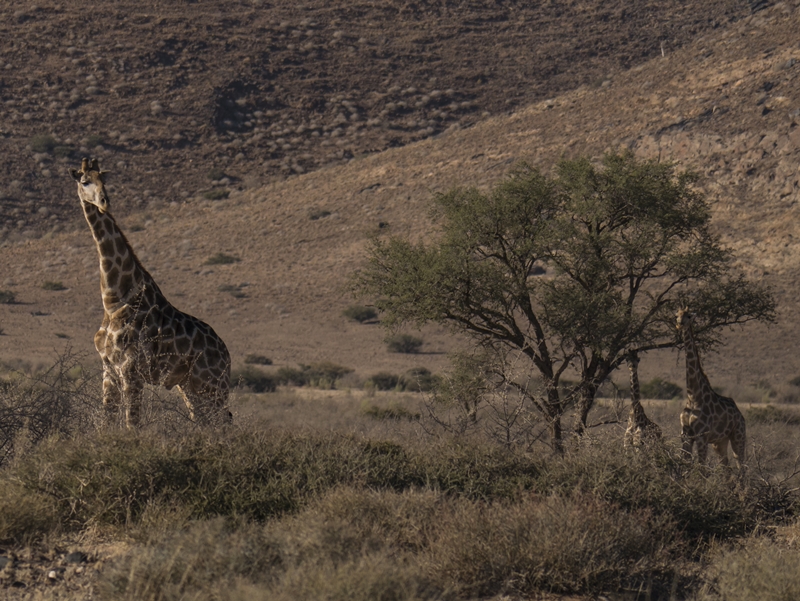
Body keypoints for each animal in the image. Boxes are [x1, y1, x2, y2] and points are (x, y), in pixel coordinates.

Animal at [69, 157, 233, 424]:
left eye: (104, 178)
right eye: (84, 181)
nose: (104, 201)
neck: (113, 300)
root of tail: (226, 353)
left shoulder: (131, 371)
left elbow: (131, 424)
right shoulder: (109, 369)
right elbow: (107, 422)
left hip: (213, 384)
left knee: (224, 423)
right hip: (190, 386)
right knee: (204, 423)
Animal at [680, 308, 748, 466]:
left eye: (688, 316)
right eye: (677, 315)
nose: (679, 324)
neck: (693, 395)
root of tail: (740, 415)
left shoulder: (702, 436)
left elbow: (701, 467)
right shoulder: (686, 435)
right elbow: (684, 463)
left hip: (738, 436)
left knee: (741, 465)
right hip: (719, 442)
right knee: (726, 466)